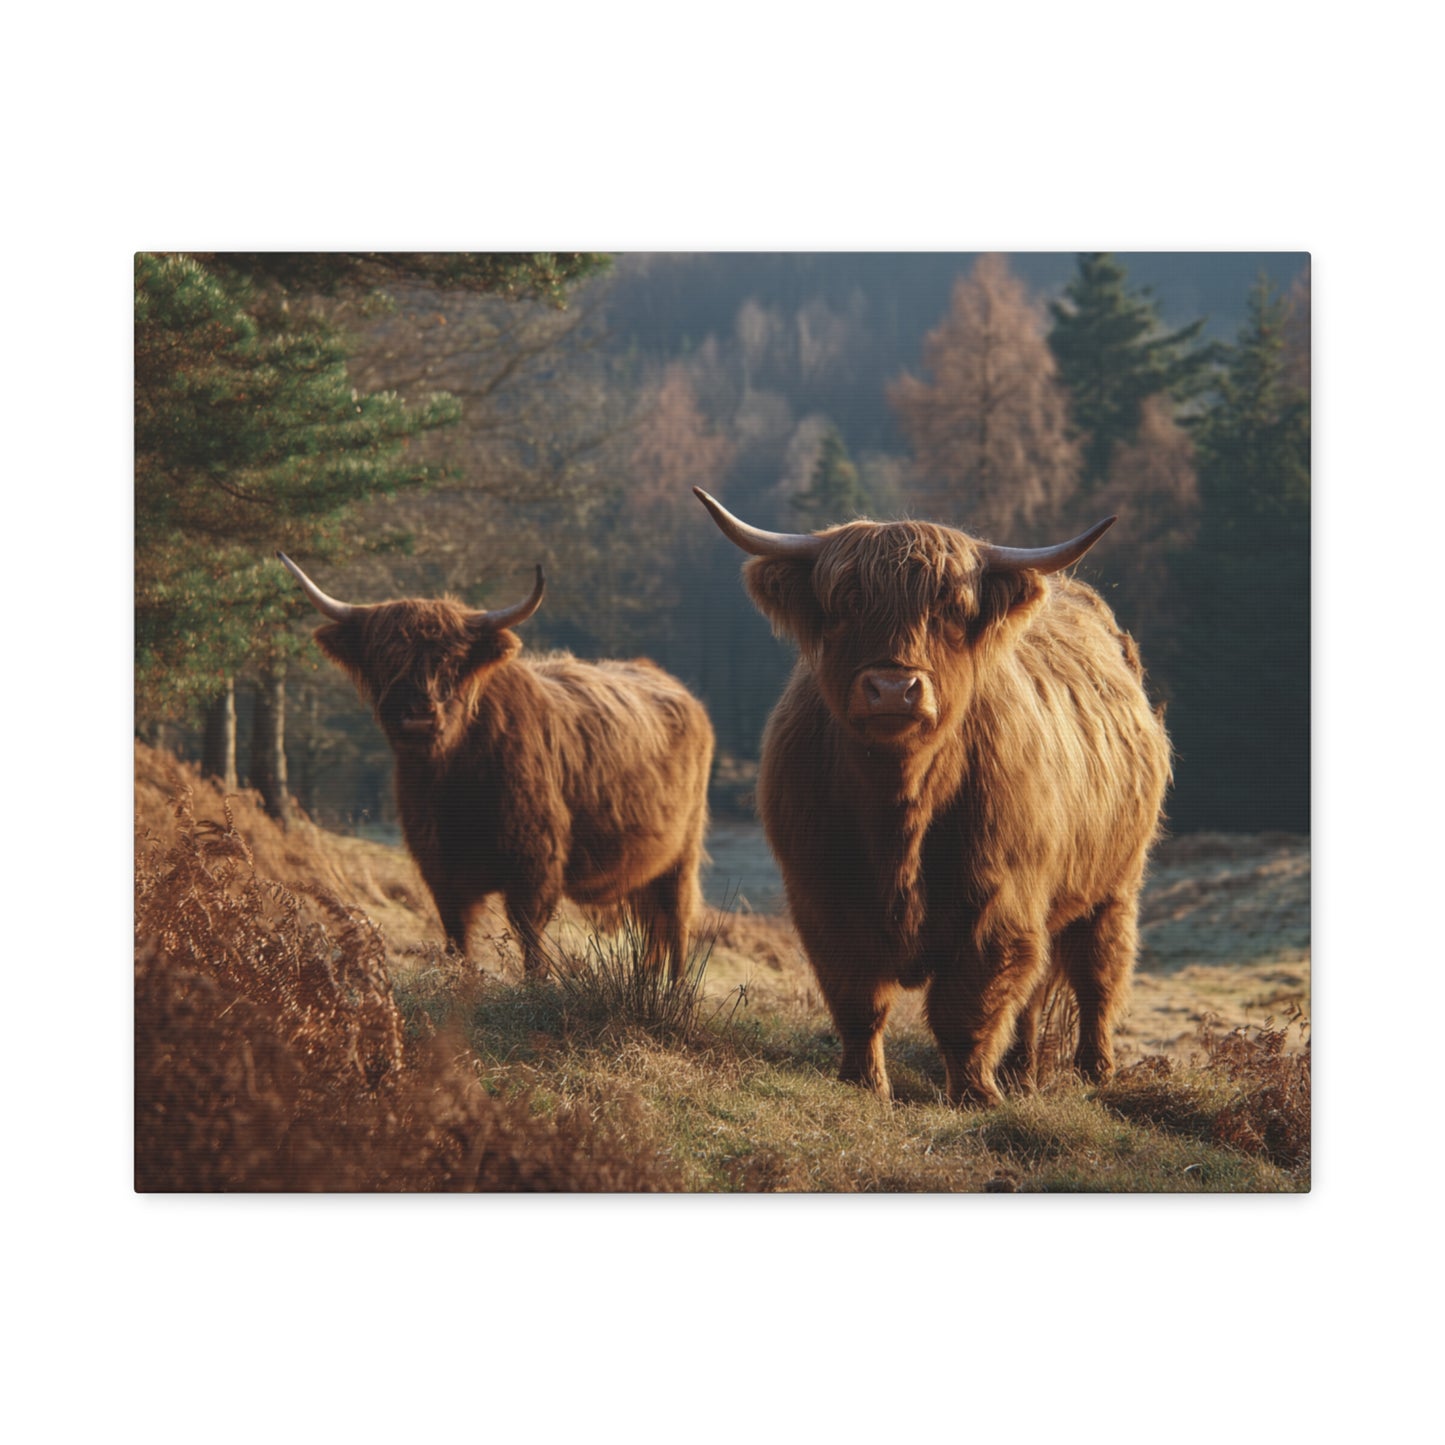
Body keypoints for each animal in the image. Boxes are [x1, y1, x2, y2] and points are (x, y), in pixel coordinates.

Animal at [278, 553, 714, 981]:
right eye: (386, 657)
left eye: (452, 661)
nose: (420, 716)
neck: (453, 780)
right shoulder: (439, 866)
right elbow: (456, 937)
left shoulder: (535, 863)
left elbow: (529, 935)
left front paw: (537, 985)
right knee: (652, 927)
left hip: (682, 853)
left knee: (677, 922)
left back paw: (674, 991)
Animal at [695, 488, 1171, 1107]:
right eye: (845, 603)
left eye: (949, 610)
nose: (894, 688)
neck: (899, 809)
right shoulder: (822, 898)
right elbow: (858, 999)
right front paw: (864, 1083)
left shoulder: (1000, 904)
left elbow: (966, 1006)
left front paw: (974, 1094)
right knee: (1036, 993)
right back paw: (1021, 1073)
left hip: (1114, 885)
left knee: (1097, 975)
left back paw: (1094, 1072)